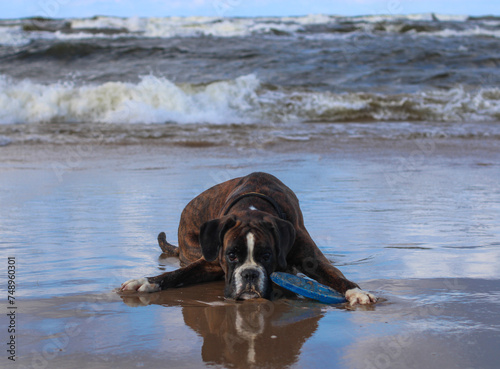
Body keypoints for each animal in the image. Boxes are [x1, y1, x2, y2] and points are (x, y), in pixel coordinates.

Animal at [121, 171, 376, 304]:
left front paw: (358, 292)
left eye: (267, 256)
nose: (250, 274)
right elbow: (176, 275)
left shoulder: (313, 260)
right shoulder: (208, 263)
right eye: (231, 255)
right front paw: (145, 281)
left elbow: (337, 277)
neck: (252, 206)